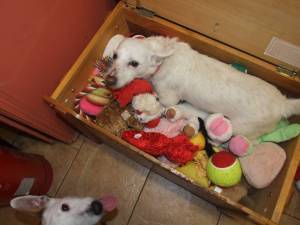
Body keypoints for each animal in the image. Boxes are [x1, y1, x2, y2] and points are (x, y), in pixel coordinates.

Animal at [103, 34, 300, 140]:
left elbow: (159, 103)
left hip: (239, 128)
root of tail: (283, 104)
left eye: (134, 63)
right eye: (115, 56)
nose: (109, 81)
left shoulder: (168, 97)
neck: (164, 61)